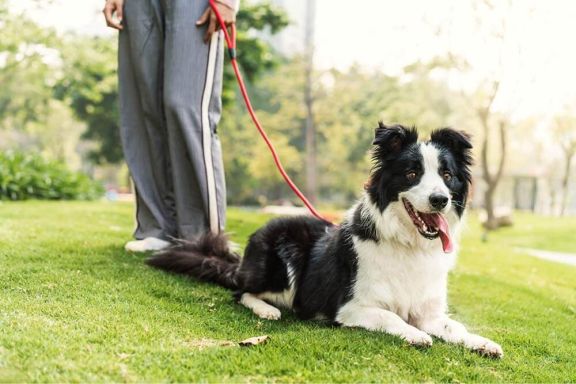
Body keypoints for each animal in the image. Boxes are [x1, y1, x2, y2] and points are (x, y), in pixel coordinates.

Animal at [147, 123, 504, 356]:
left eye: (447, 175)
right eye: (412, 174)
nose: (440, 200)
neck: (408, 244)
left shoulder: (429, 312)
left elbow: (454, 328)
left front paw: (482, 342)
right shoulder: (351, 307)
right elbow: (390, 316)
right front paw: (414, 334)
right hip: (282, 259)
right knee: (242, 292)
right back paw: (267, 310)